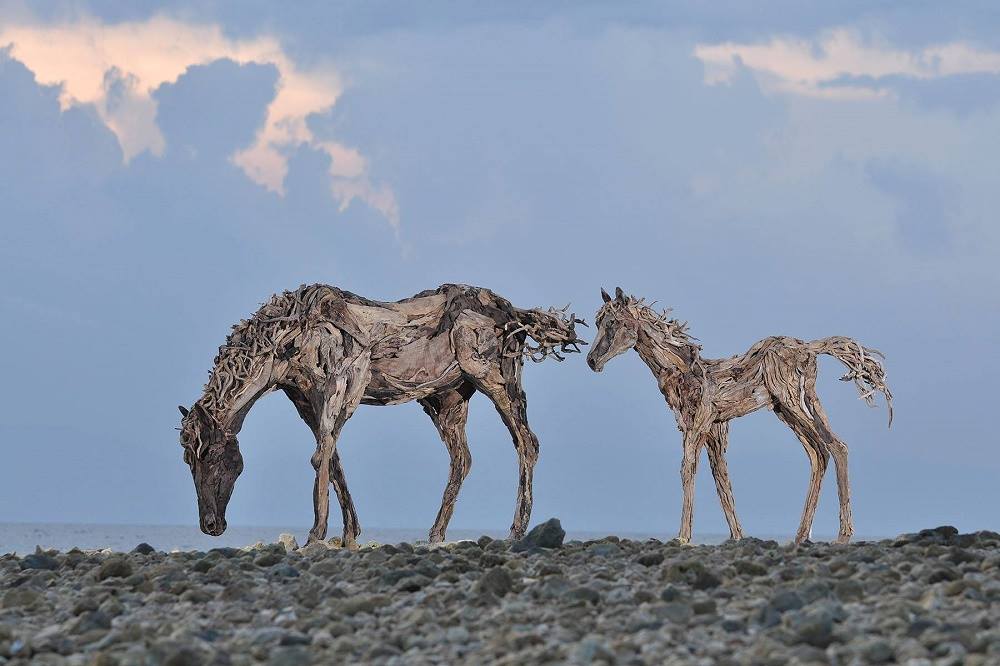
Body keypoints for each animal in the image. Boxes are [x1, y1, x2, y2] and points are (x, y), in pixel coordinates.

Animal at [180, 282, 584, 544]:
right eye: (189, 461)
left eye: (211, 454)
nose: (210, 526)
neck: (289, 339)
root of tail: (516, 314)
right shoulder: (306, 400)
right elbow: (332, 457)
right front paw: (348, 534)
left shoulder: (340, 385)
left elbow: (320, 456)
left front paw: (316, 534)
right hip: (448, 399)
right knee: (462, 459)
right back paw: (435, 535)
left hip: (497, 380)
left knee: (527, 443)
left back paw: (516, 531)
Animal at [584, 288, 892, 544]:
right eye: (598, 323)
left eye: (613, 323)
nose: (591, 361)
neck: (683, 370)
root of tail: (810, 347)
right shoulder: (715, 430)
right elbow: (721, 477)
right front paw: (737, 536)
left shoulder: (697, 424)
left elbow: (687, 470)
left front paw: (683, 537)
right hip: (793, 408)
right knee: (821, 452)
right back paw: (802, 535)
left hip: (793, 402)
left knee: (834, 447)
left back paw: (842, 534)